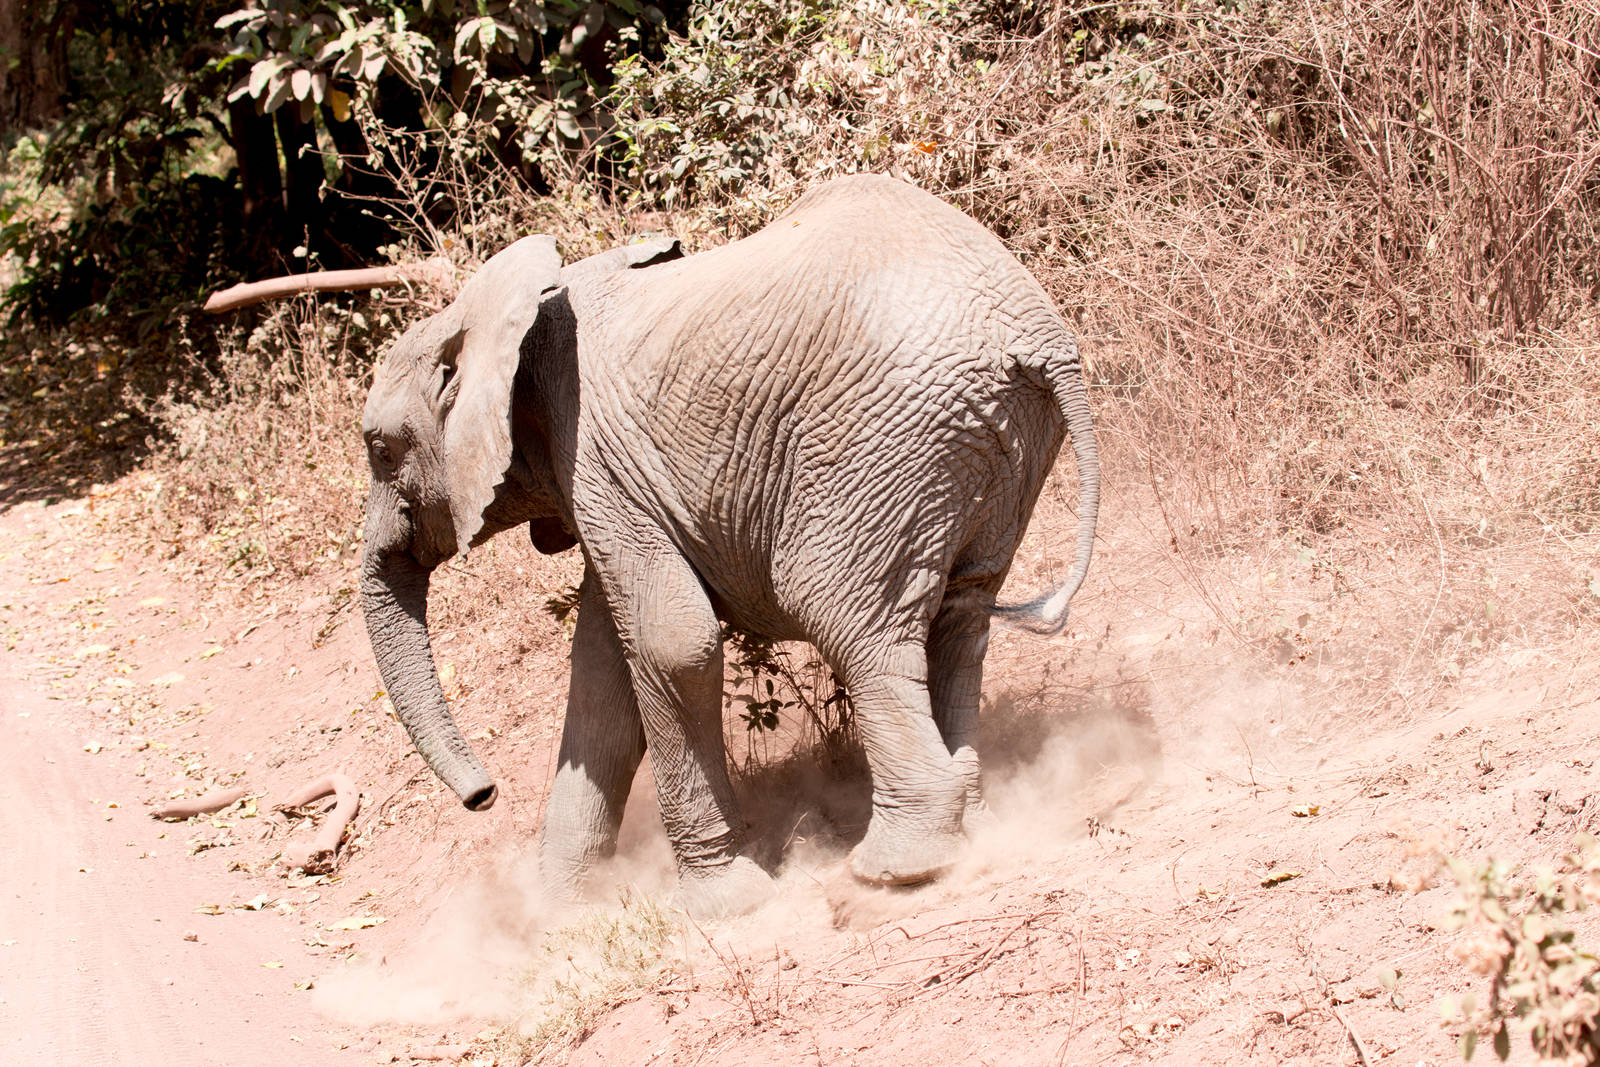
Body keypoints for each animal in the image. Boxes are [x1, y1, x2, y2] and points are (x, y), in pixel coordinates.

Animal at [358, 173, 1100, 917]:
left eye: (380, 449)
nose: (484, 795)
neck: (501, 317)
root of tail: (1038, 335)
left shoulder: (594, 459)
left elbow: (672, 644)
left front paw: (721, 906)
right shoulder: (609, 484)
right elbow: (603, 674)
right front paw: (560, 916)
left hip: (884, 448)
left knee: (850, 622)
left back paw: (894, 871)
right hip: (995, 447)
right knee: (961, 621)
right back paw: (978, 824)